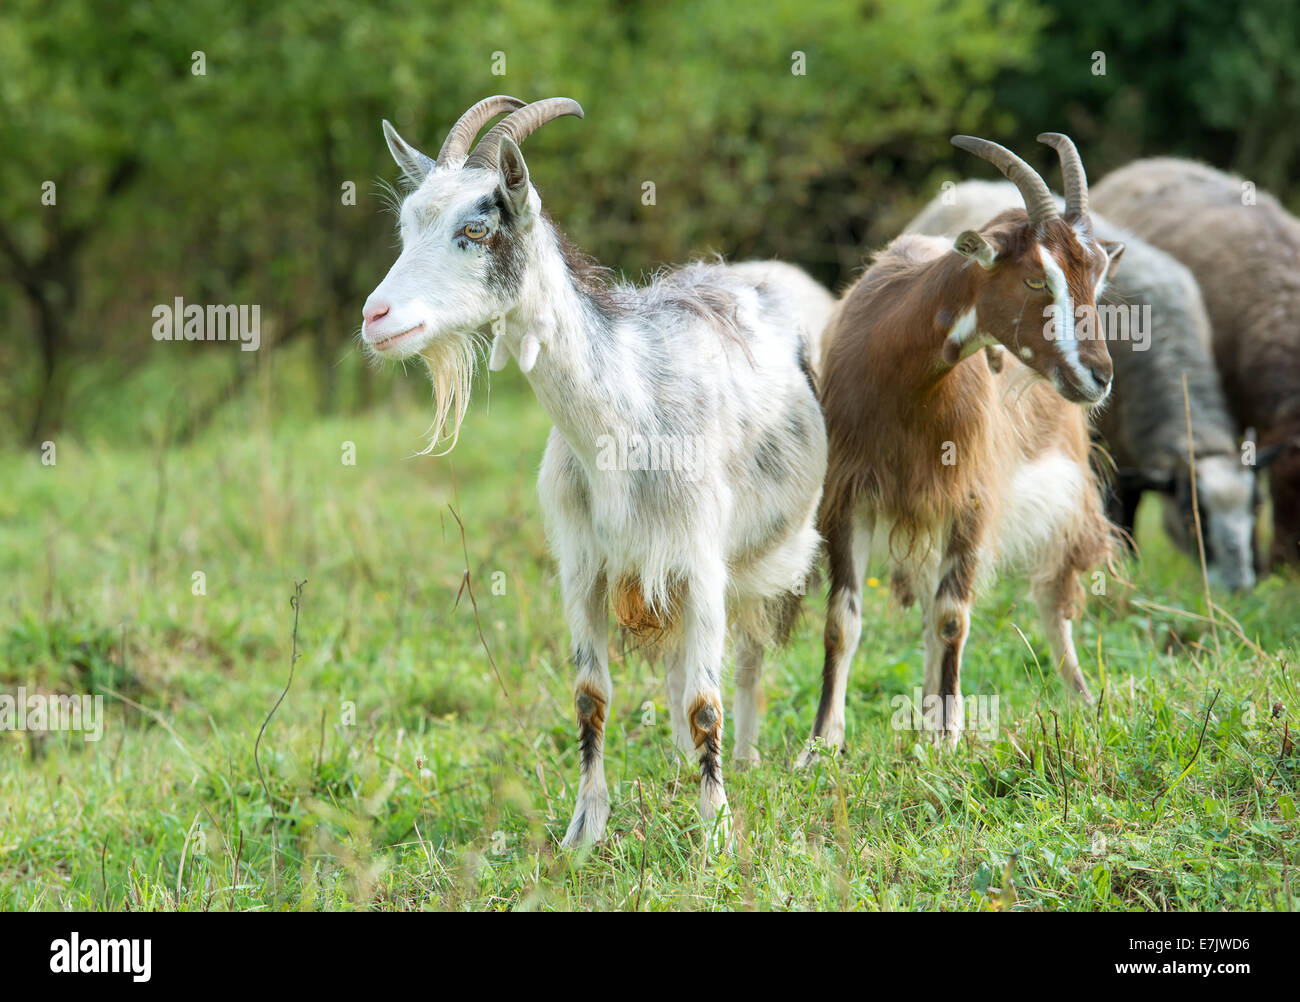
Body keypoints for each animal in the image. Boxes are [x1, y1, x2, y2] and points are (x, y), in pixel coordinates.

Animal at [361, 96, 834, 848]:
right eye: (408, 225)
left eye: (476, 228)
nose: (375, 318)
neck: (623, 424)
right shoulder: (584, 566)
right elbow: (591, 698)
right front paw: (584, 830)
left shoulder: (699, 558)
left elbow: (706, 699)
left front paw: (716, 834)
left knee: (779, 645)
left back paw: (774, 755)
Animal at [800, 134, 1121, 758]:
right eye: (1036, 279)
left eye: (1095, 278)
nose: (1099, 377)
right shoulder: (849, 494)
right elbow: (841, 622)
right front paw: (821, 745)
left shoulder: (970, 494)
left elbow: (953, 618)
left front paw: (947, 741)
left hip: (1065, 487)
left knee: (1054, 596)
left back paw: (1082, 699)